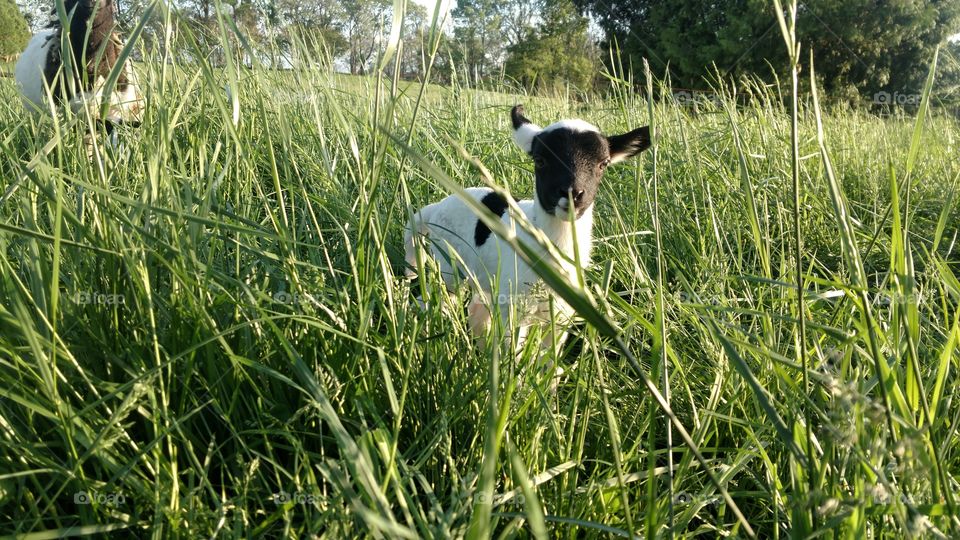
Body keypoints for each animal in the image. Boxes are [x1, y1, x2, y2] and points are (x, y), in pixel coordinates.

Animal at [404, 105, 652, 346]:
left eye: (603, 164)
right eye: (540, 160)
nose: (572, 194)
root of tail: (437, 206)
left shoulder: (561, 316)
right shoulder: (514, 308)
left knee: (476, 313)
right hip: (449, 264)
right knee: (434, 299)